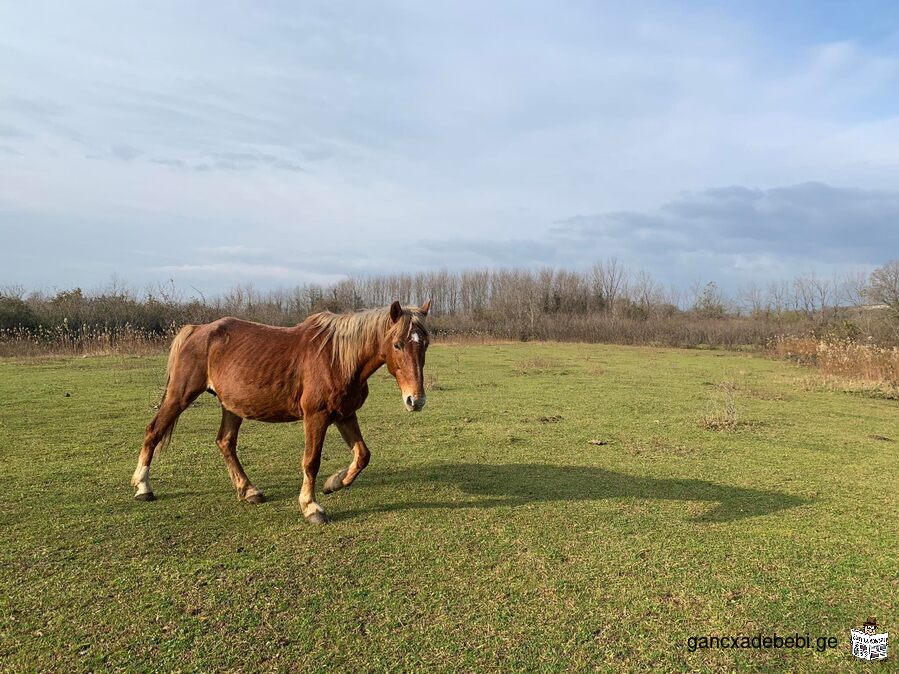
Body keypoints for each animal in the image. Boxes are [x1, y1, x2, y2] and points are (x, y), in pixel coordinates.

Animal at [129, 300, 432, 524]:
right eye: (397, 344)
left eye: (425, 344)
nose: (415, 400)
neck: (336, 358)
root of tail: (197, 330)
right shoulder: (316, 416)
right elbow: (311, 461)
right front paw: (311, 506)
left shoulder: (345, 415)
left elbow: (362, 455)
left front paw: (333, 483)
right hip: (180, 395)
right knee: (154, 431)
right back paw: (143, 487)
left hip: (231, 405)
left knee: (225, 442)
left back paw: (248, 490)